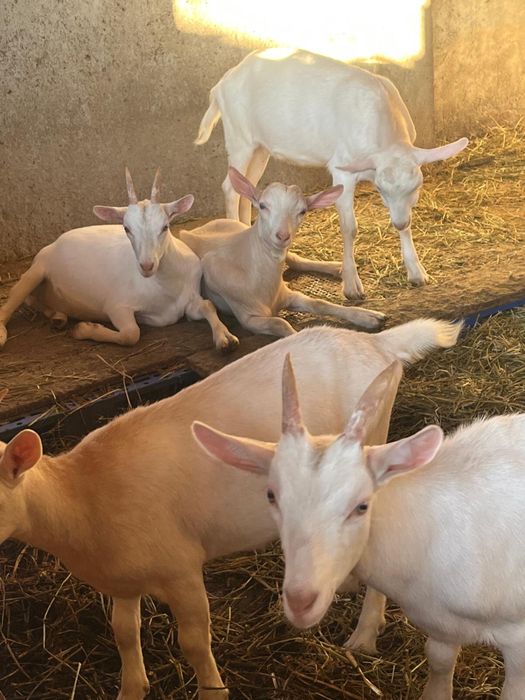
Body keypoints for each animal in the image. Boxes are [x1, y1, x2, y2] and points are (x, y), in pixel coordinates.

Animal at [0, 170, 238, 351]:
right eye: (126, 228)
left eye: (165, 226)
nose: (147, 266)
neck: (166, 287)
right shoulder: (117, 306)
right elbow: (131, 334)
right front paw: (84, 329)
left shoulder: (190, 298)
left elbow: (207, 305)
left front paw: (225, 338)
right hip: (37, 269)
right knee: (15, 296)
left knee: (36, 303)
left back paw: (58, 318)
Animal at [0, 318, 460, 698]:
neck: (79, 493)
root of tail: (375, 342)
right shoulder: (122, 577)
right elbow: (123, 633)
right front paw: (132, 689)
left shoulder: (181, 568)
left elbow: (193, 643)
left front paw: (212, 690)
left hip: (375, 443)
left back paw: (365, 635)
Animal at [180, 167, 386, 337]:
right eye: (262, 206)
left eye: (302, 211)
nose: (282, 235)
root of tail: (200, 227)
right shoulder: (248, 317)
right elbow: (281, 324)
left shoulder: (287, 294)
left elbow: (319, 303)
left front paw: (368, 316)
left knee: (295, 259)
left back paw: (337, 267)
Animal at [194, 357, 525, 699]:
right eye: (271, 495)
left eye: (362, 506)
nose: (300, 601)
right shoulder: (441, 625)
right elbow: (439, 660)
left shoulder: (518, 642)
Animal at [196, 48, 468, 299]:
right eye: (379, 189)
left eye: (417, 186)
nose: (399, 221)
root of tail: (223, 83)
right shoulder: (342, 170)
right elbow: (350, 227)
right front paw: (352, 286)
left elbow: (405, 221)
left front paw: (416, 271)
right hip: (239, 136)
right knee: (231, 187)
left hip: (260, 147)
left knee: (247, 187)